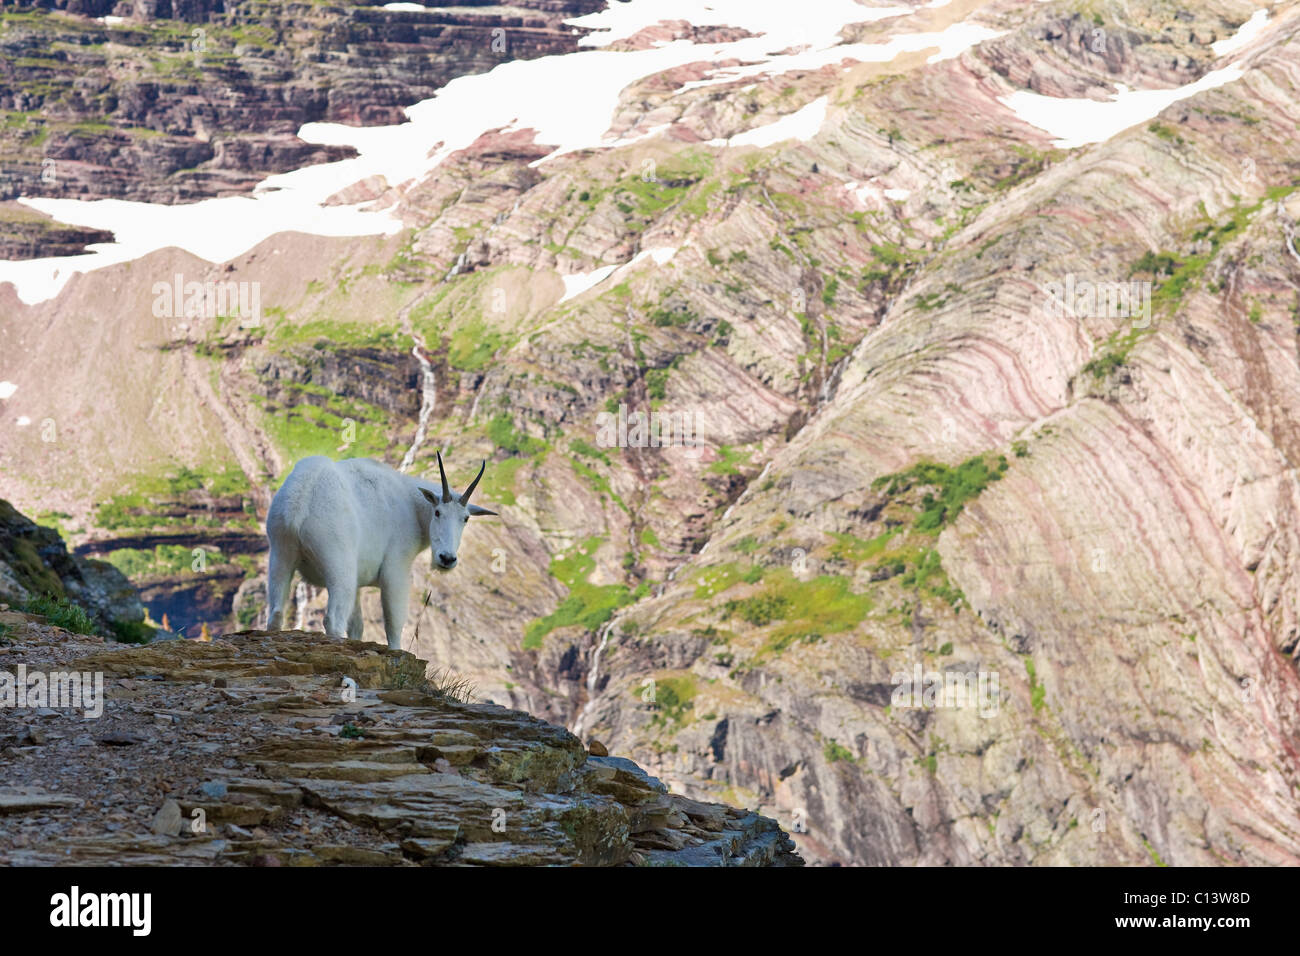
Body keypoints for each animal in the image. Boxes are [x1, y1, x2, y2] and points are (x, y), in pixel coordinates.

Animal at [264, 452, 496, 649]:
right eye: (437, 512)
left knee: (276, 613)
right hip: (338, 564)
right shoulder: (395, 570)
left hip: (280, 552)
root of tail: (300, 501)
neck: (410, 503)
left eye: (465, 518)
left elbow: (357, 626)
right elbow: (394, 623)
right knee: (334, 619)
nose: (447, 558)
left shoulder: (358, 585)